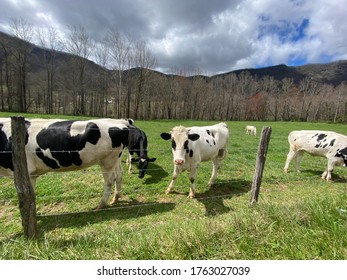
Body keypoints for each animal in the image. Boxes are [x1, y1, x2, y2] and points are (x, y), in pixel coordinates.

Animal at [0, 117, 154, 208]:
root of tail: (121, 122)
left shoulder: (26, 172)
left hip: (107, 161)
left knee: (110, 180)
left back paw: (101, 204)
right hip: (114, 159)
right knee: (119, 175)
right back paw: (116, 198)